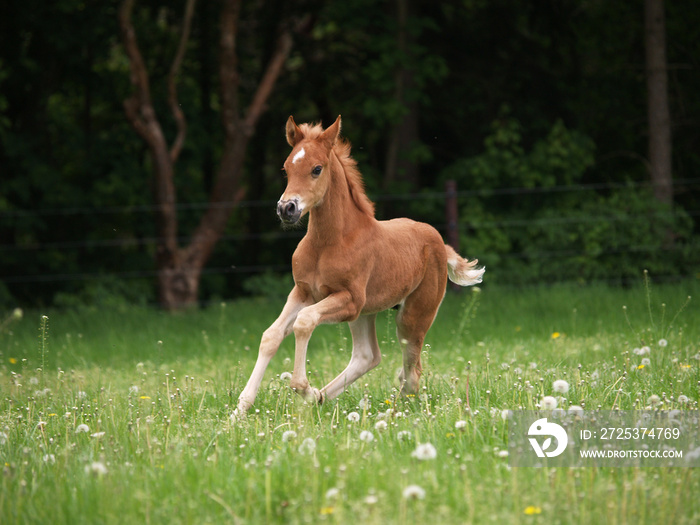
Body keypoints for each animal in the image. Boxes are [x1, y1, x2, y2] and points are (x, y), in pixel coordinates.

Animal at [235, 115, 482, 414]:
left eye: (317, 169)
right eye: (286, 169)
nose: (286, 209)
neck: (328, 242)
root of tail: (439, 242)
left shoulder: (350, 300)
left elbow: (304, 322)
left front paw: (302, 388)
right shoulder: (304, 292)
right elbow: (271, 336)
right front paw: (240, 409)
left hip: (412, 316)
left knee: (412, 372)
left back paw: (391, 408)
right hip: (366, 312)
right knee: (368, 356)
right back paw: (321, 398)